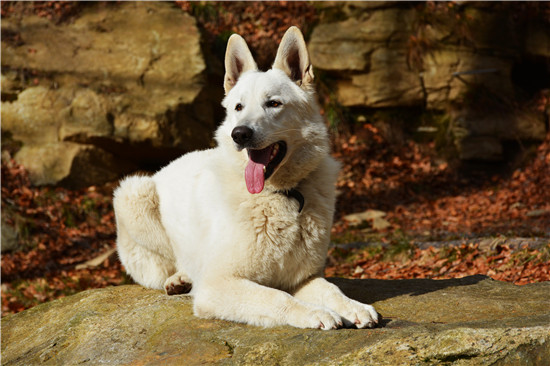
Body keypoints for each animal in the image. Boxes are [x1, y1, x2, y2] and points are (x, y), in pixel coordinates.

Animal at [114, 25, 382, 328]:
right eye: (239, 107)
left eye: (274, 103)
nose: (239, 134)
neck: (281, 195)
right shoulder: (218, 286)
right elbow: (278, 297)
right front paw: (316, 314)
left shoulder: (304, 278)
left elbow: (332, 289)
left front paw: (354, 307)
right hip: (134, 194)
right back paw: (180, 278)